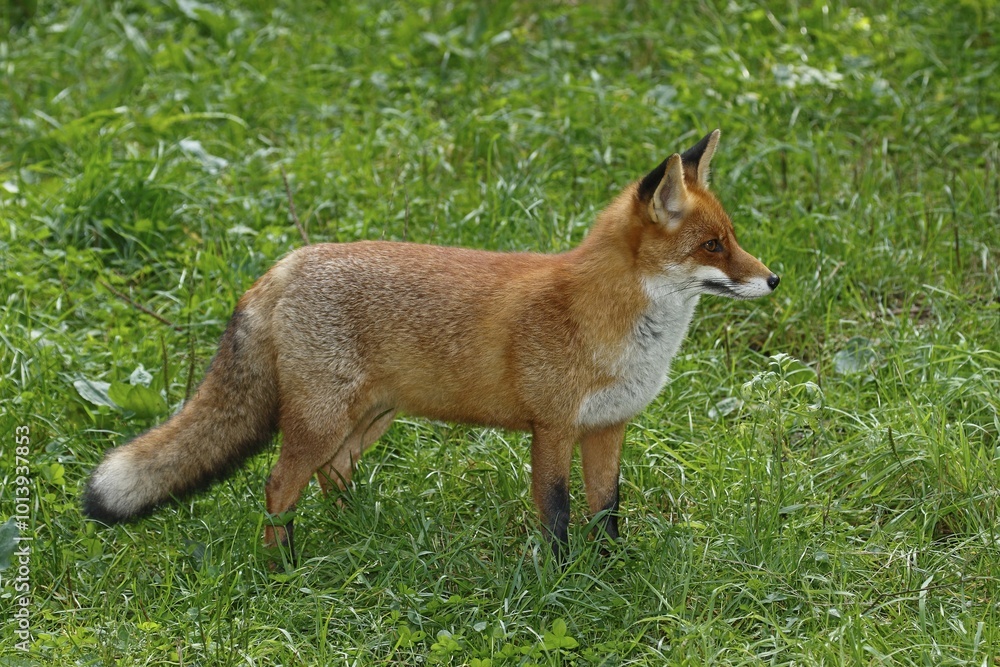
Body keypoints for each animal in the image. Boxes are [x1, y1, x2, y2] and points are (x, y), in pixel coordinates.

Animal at [83, 130, 779, 560]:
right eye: (711, 246)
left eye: (734, 238)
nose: (772, 279)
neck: (612, 325)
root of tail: (285, 264)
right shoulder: (552, 427)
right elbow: (555, 514)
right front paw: (561, 580)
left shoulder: (608, 427)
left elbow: (607, 510)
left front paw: (609, 570)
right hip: (321, 419)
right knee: (280, 486)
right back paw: (281, 565)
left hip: (371, 418)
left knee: (335, 473)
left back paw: (363, 529)